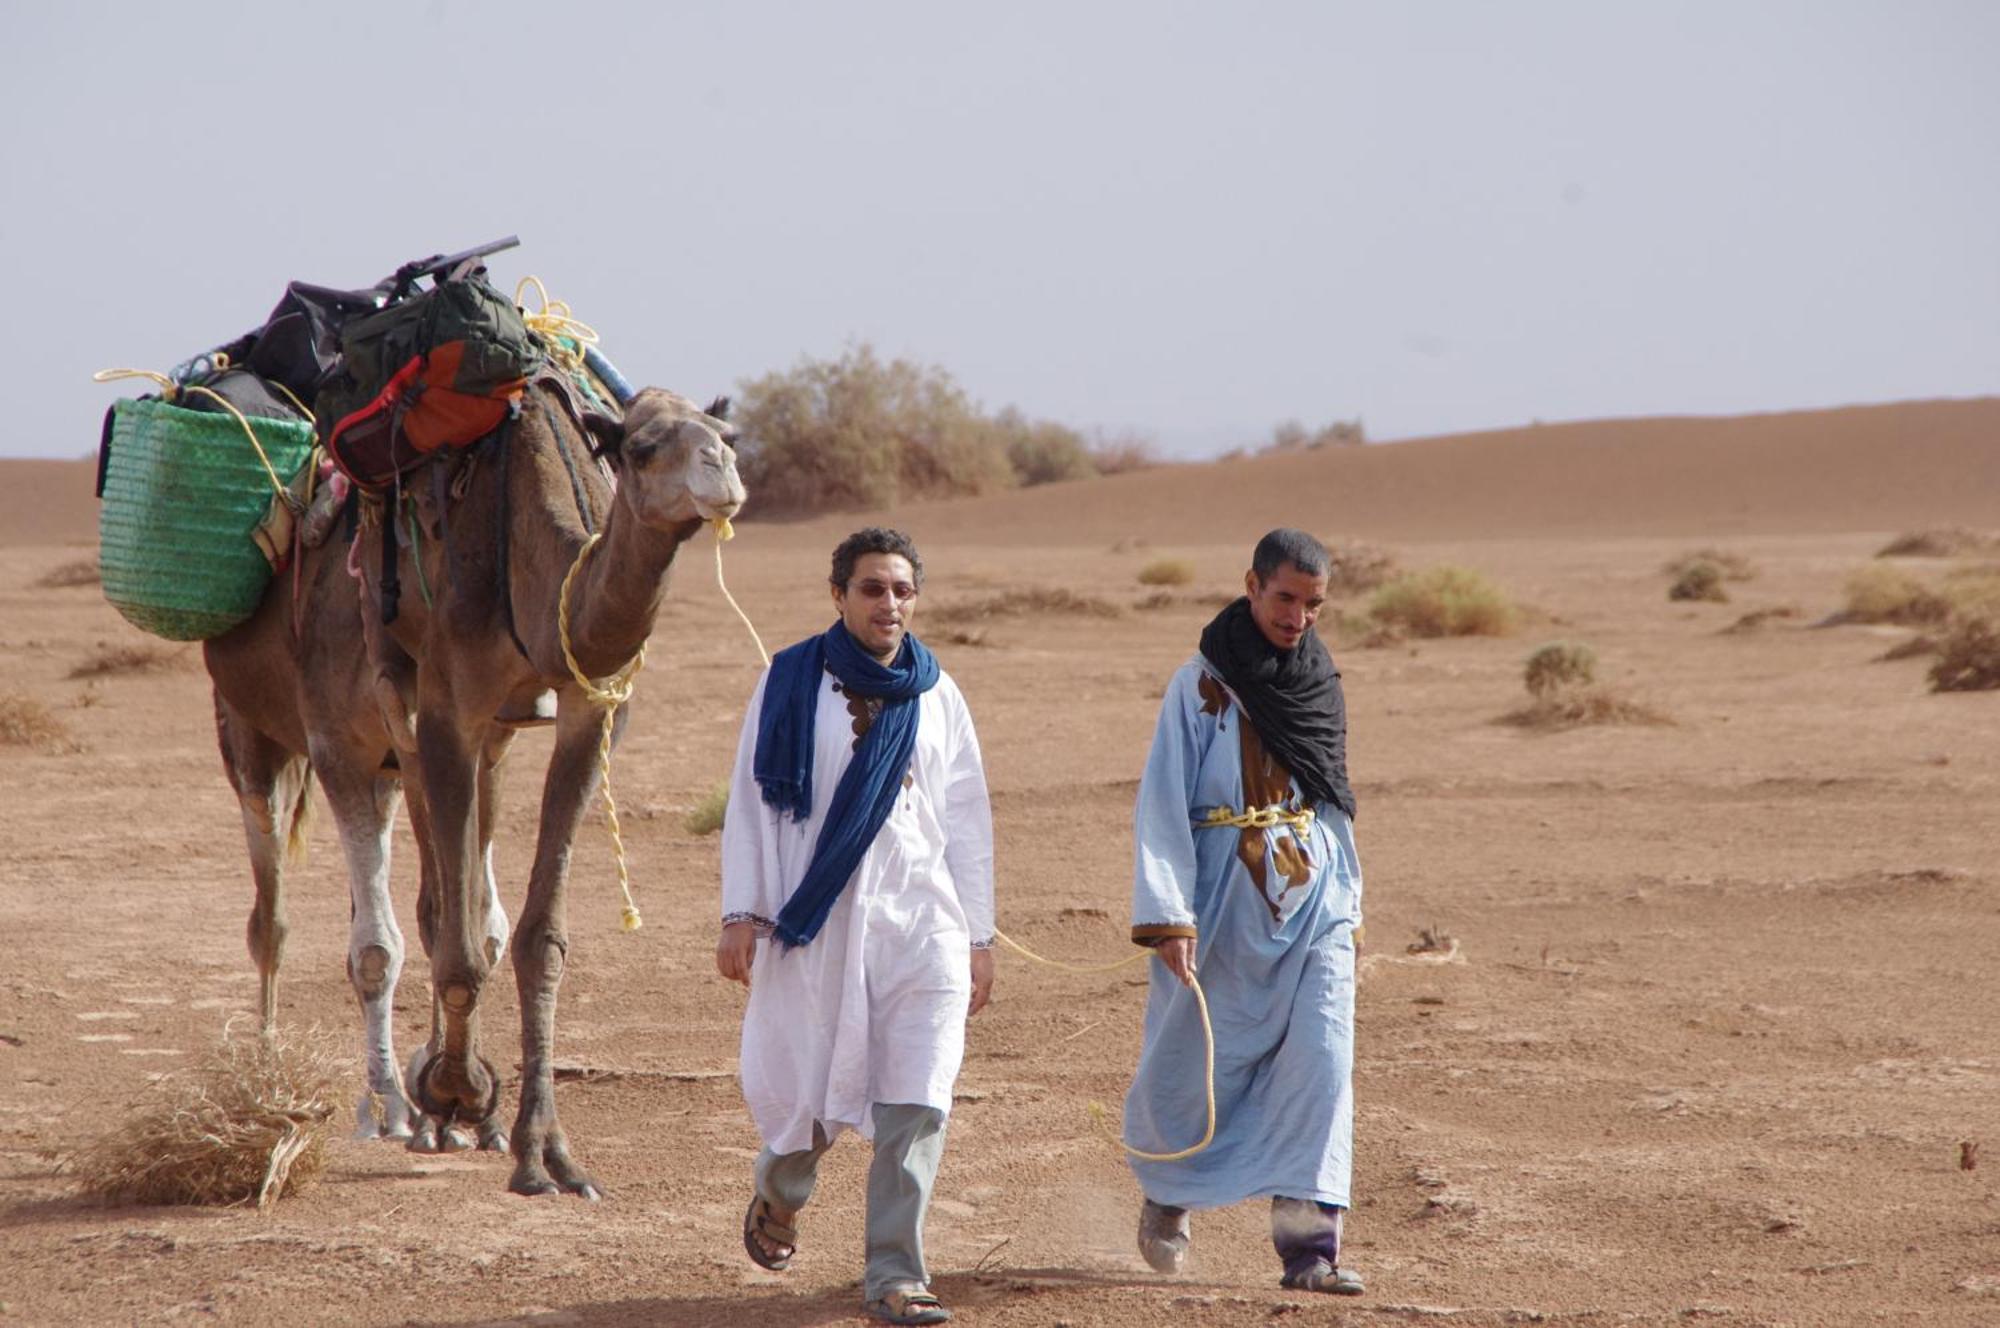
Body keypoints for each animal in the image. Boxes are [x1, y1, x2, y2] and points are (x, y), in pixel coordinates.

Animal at [356, 382, 748, 1192]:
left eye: (727, 435)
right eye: (640, 448)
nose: (721, 474)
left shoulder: (593, 710)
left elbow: (541, 937)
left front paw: (545, 1152)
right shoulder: (449, 710)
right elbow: (459, 949)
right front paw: (456, 1088)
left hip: (499, 737)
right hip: (397, 686)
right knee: (438, 898)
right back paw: (434, 1110)